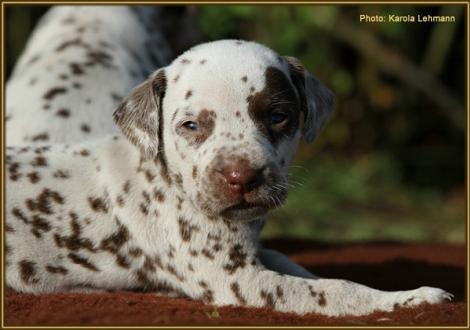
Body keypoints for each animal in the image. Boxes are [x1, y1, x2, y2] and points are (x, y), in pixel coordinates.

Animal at [5, 40, 454, 316]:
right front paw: (414, 298)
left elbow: (297, 264)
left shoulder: (256, 255)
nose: (242, 177)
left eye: (278, 116)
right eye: (190, 125)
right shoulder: (240, 282)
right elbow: (336, 290)